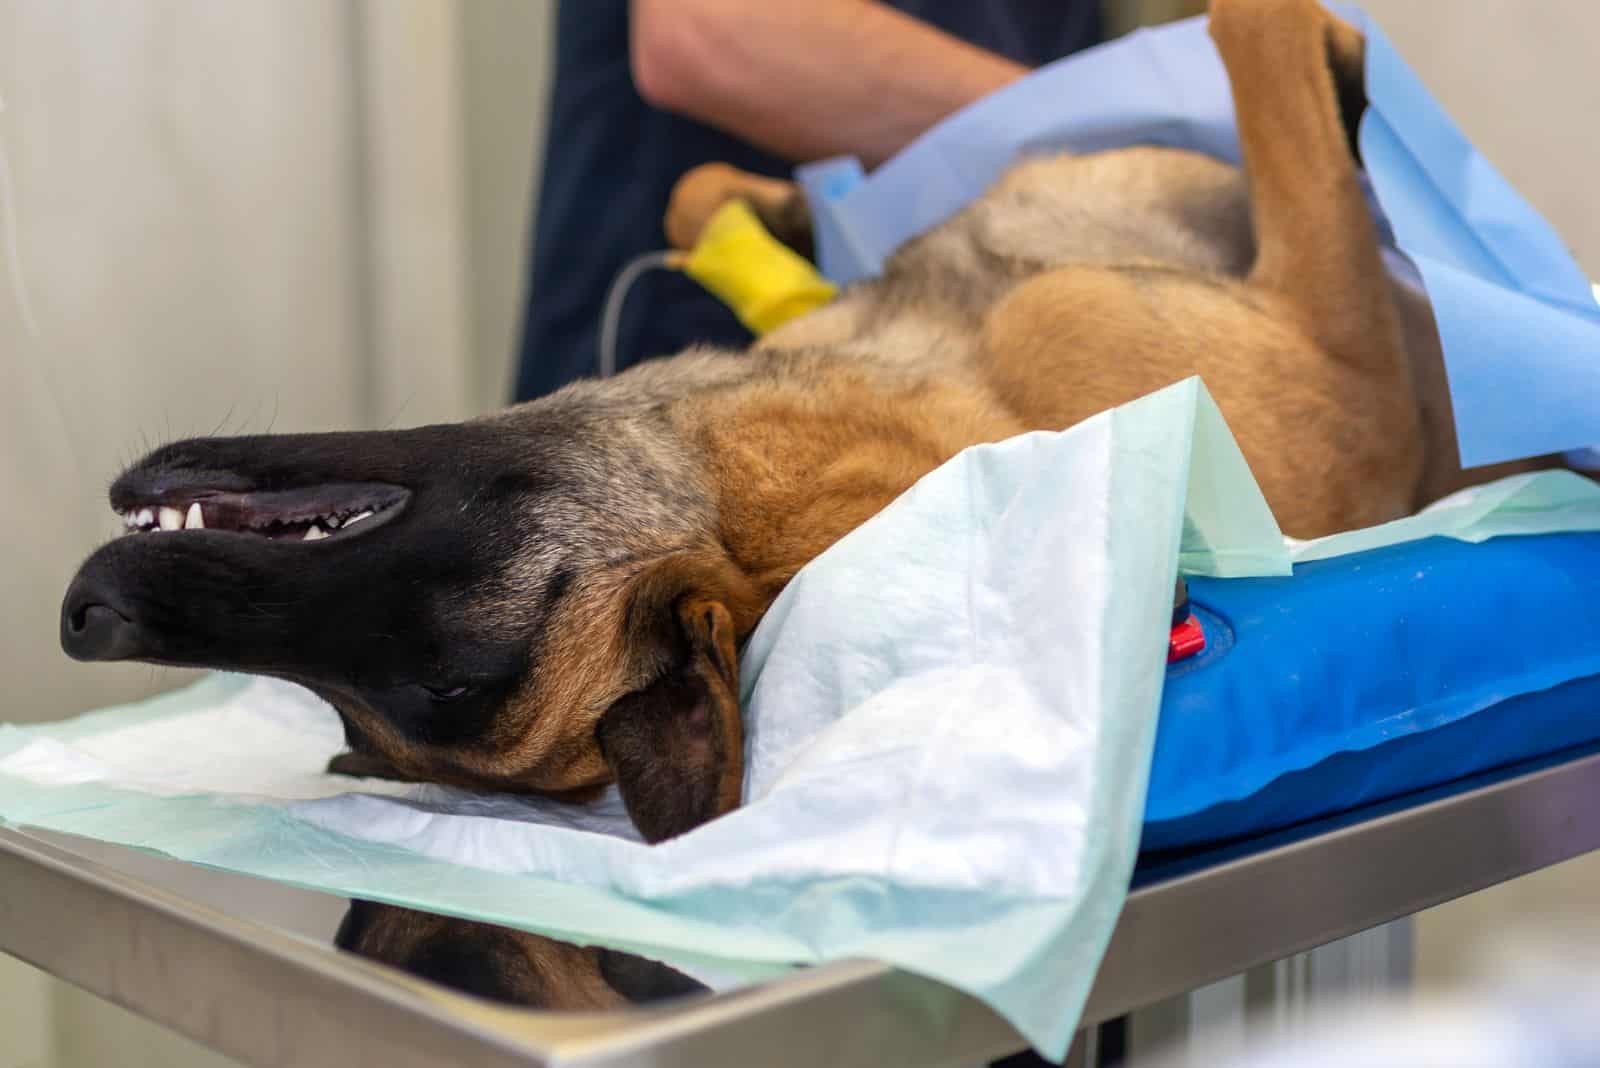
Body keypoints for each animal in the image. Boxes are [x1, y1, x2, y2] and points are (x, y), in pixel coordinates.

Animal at [59, 2, 1548, 850]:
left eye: (447, 679)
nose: (89, 619)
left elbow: (702, 193)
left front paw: (776, 216)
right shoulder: (1325, 335)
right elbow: (1260, 39)